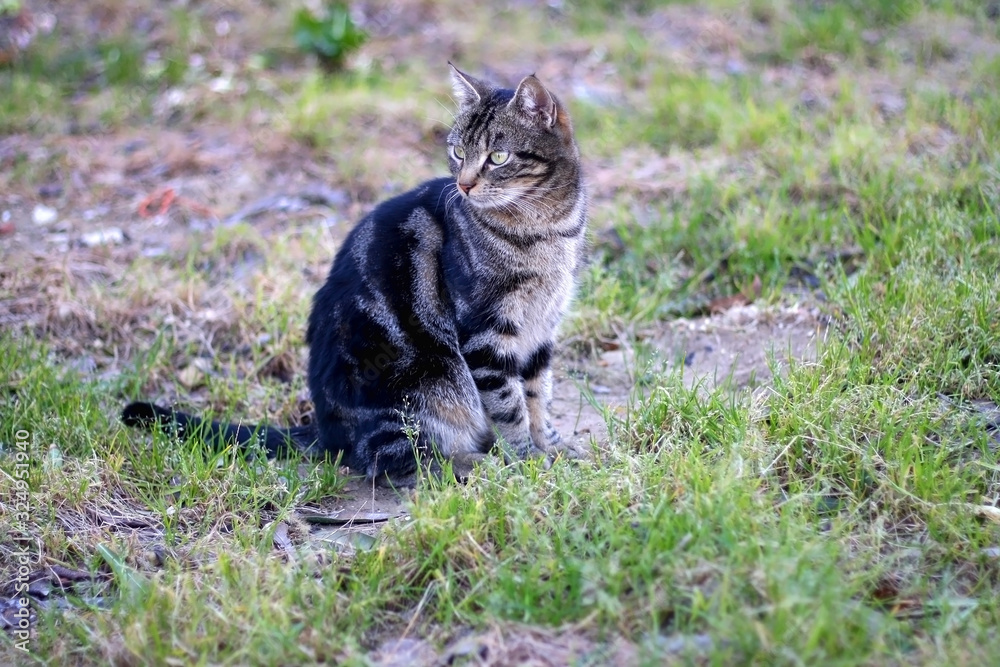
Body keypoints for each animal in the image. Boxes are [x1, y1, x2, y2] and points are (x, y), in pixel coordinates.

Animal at [122, 66, 588, 486]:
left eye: (498, 157)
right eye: (458, 152)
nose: (464, 184)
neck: (546, 229)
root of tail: (325, 431)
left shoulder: (542, 328)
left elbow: (538, 395)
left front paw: (552, 446)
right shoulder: (486, 333)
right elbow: (509, 405)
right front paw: (526, 460)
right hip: (425, 385)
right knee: (394, 461)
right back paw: (475, 463)